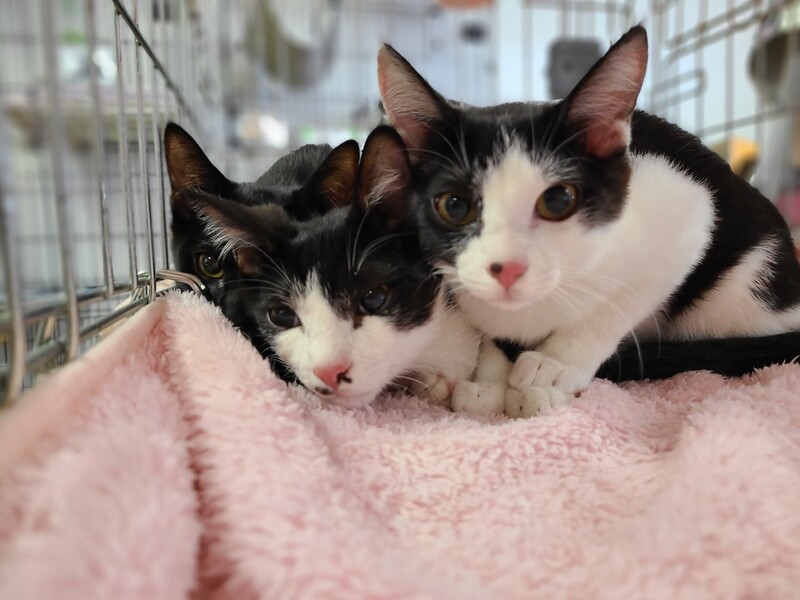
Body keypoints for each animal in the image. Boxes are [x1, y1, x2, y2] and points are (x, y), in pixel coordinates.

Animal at [377, 25, 800, 417]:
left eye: (558, 200)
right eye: (454, 205)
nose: (507, 268)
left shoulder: (687, 211)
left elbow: (621, 300)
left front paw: (555, 365)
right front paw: (490, 379)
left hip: (742, 291)